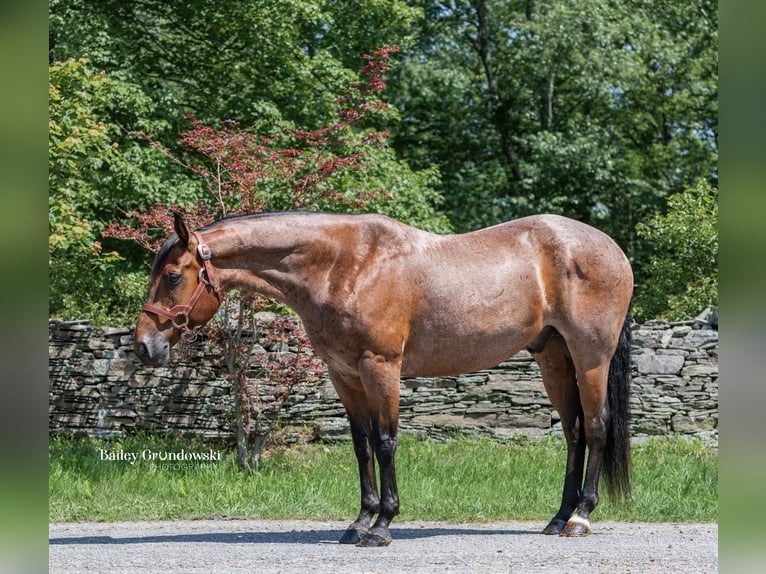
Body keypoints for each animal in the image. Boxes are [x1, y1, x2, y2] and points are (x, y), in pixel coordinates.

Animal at [135, 210, 632, 548]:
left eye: (173, 276)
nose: (143, 346)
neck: (344, 265)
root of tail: (611, 247)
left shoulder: (382, 367)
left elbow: (387, 442)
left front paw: (383, 524)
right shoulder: (345, 375)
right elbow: (362, 446)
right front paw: (359, 522)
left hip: (589, 356)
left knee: (595, 427)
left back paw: (580, 517)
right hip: (554, 358)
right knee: (573, 433)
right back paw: (558, 516)